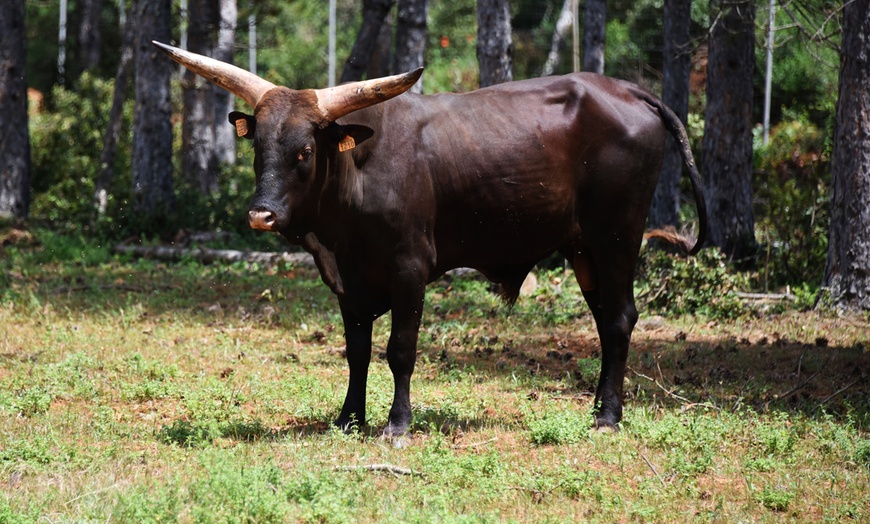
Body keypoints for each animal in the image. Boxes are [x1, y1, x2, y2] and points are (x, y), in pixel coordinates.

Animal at [155, 42, 708, 438]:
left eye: (305, 151)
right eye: (259, 148)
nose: (261, 214)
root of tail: (630, 92)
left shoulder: (410, 270)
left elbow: (400, 348)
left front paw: (397, 425)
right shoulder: (347, 282)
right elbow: (357, 351)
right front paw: (348, 419)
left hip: (616, 236)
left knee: (619, 319)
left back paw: (608, 418)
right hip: (583, 249)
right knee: (606, 322)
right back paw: (597, 407)